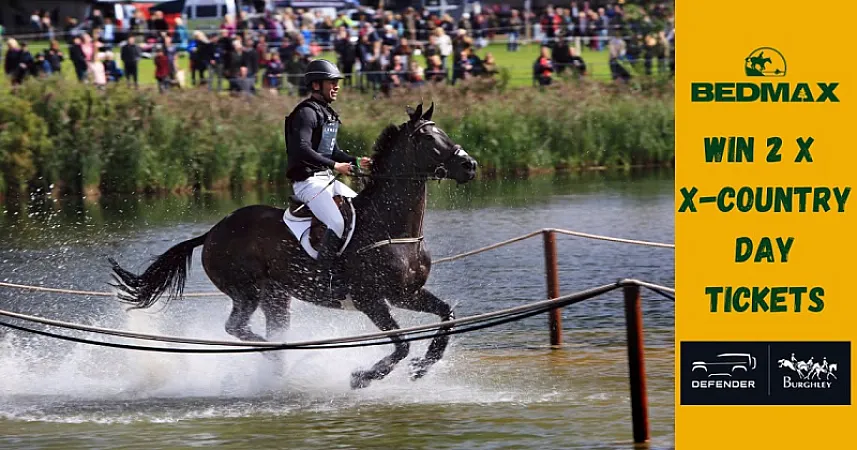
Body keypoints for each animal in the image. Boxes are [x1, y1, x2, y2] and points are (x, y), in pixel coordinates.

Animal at [107, 102, 479, 389]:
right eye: (428, 137)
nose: (470, 165)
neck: (390, 226)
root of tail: (212, 232)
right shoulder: (370, 299)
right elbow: (401, 345)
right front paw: (363, 376)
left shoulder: (405, 294)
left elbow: (447, 315)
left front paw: (424, 366)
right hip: (247, 291)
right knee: (236, 327)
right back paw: (278, 354)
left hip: (276, 296)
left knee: (266, 328)